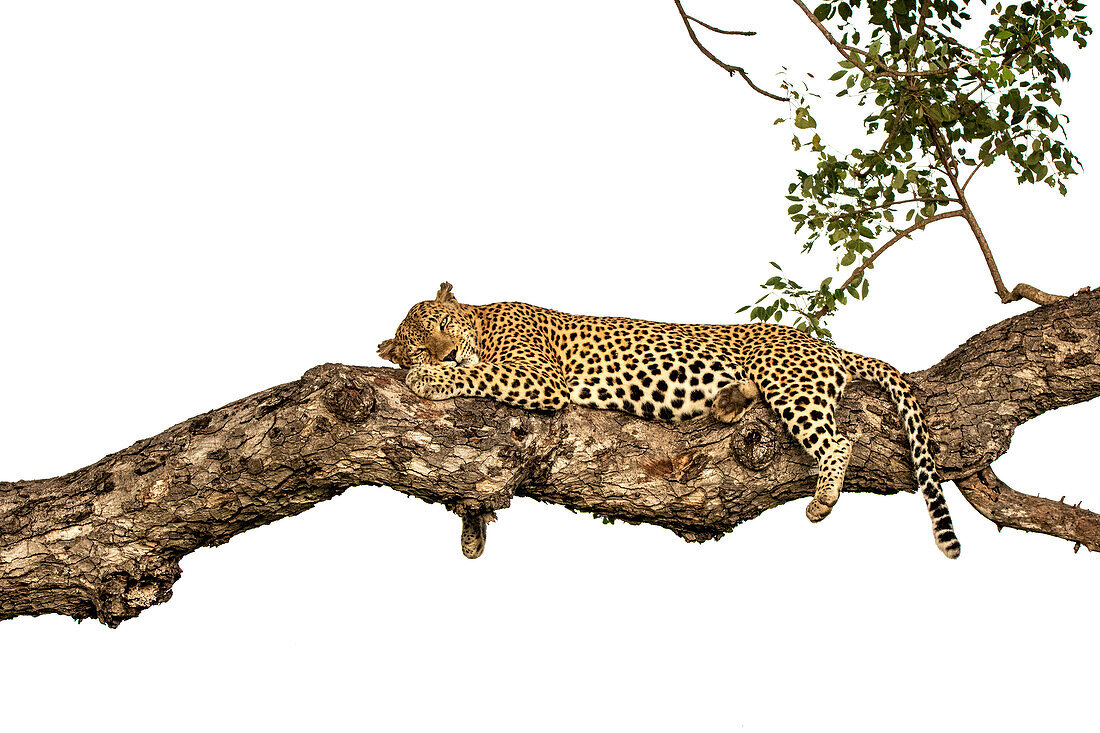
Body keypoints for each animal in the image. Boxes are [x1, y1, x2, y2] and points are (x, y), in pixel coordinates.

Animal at [380, 279, 963, 554]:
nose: (442, 353)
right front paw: (472, 531)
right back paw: (729, 400)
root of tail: (827, 345)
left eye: (441, 326)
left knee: (838, 440)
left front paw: (431, 380)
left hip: (788, 381)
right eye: (418, 342)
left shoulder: (538, 375)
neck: (481, 322)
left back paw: (822, 498)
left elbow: (478, 375)